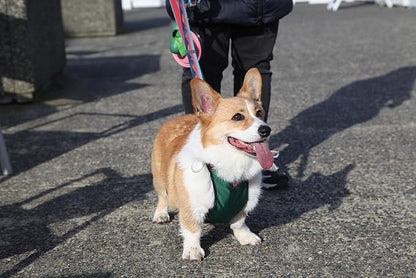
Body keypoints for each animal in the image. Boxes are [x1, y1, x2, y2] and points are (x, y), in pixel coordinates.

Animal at [151, 68, 274, 260]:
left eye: (259, 113)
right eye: (237, 117)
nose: (266, 130)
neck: (231, 163)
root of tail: (176, 119)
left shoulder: (244, 203)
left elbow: (239, 222)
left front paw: (245, 236)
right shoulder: (191, 205)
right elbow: (192, 229)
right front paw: (193, 250)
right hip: (159, 176)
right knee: (163, 196)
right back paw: (161, 214)